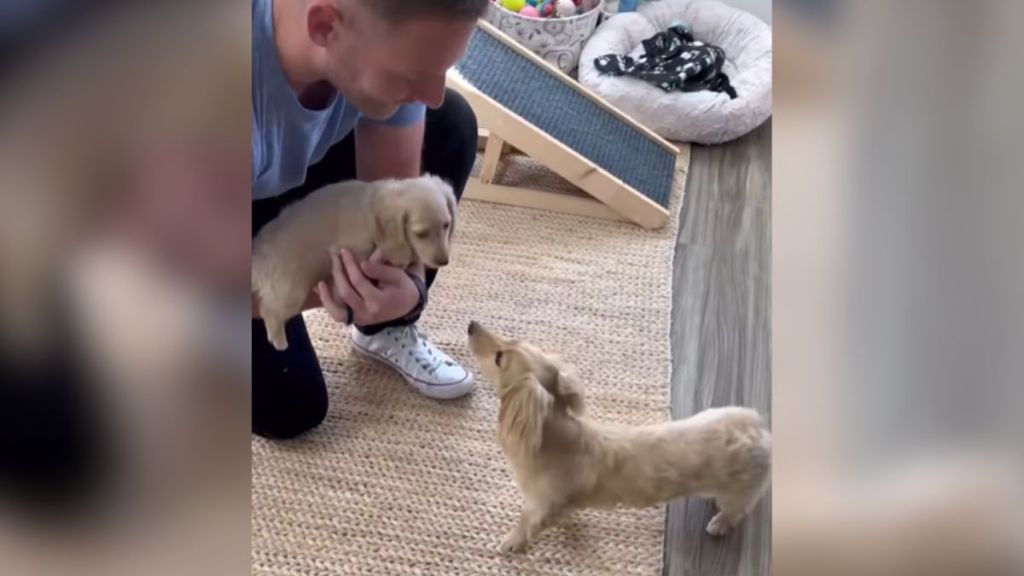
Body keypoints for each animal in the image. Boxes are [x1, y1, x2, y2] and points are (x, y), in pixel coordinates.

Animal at [249, 172, 454, 348]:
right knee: (269, 309)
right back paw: (279, 339)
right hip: (291, 291)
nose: (443, 261)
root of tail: (256, 258)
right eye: (421, 234)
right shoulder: (351, 250)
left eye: (446, 225)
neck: (373, 210)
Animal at [468, 319, 770, 549]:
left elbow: (526, 525)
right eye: (511, 339)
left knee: (737, 510)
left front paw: (511, 543)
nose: (471, 325)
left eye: (499, 358)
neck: (552, 438)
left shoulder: (541, 506)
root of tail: (757, 427)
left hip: (739, 493)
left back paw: (719, 524)